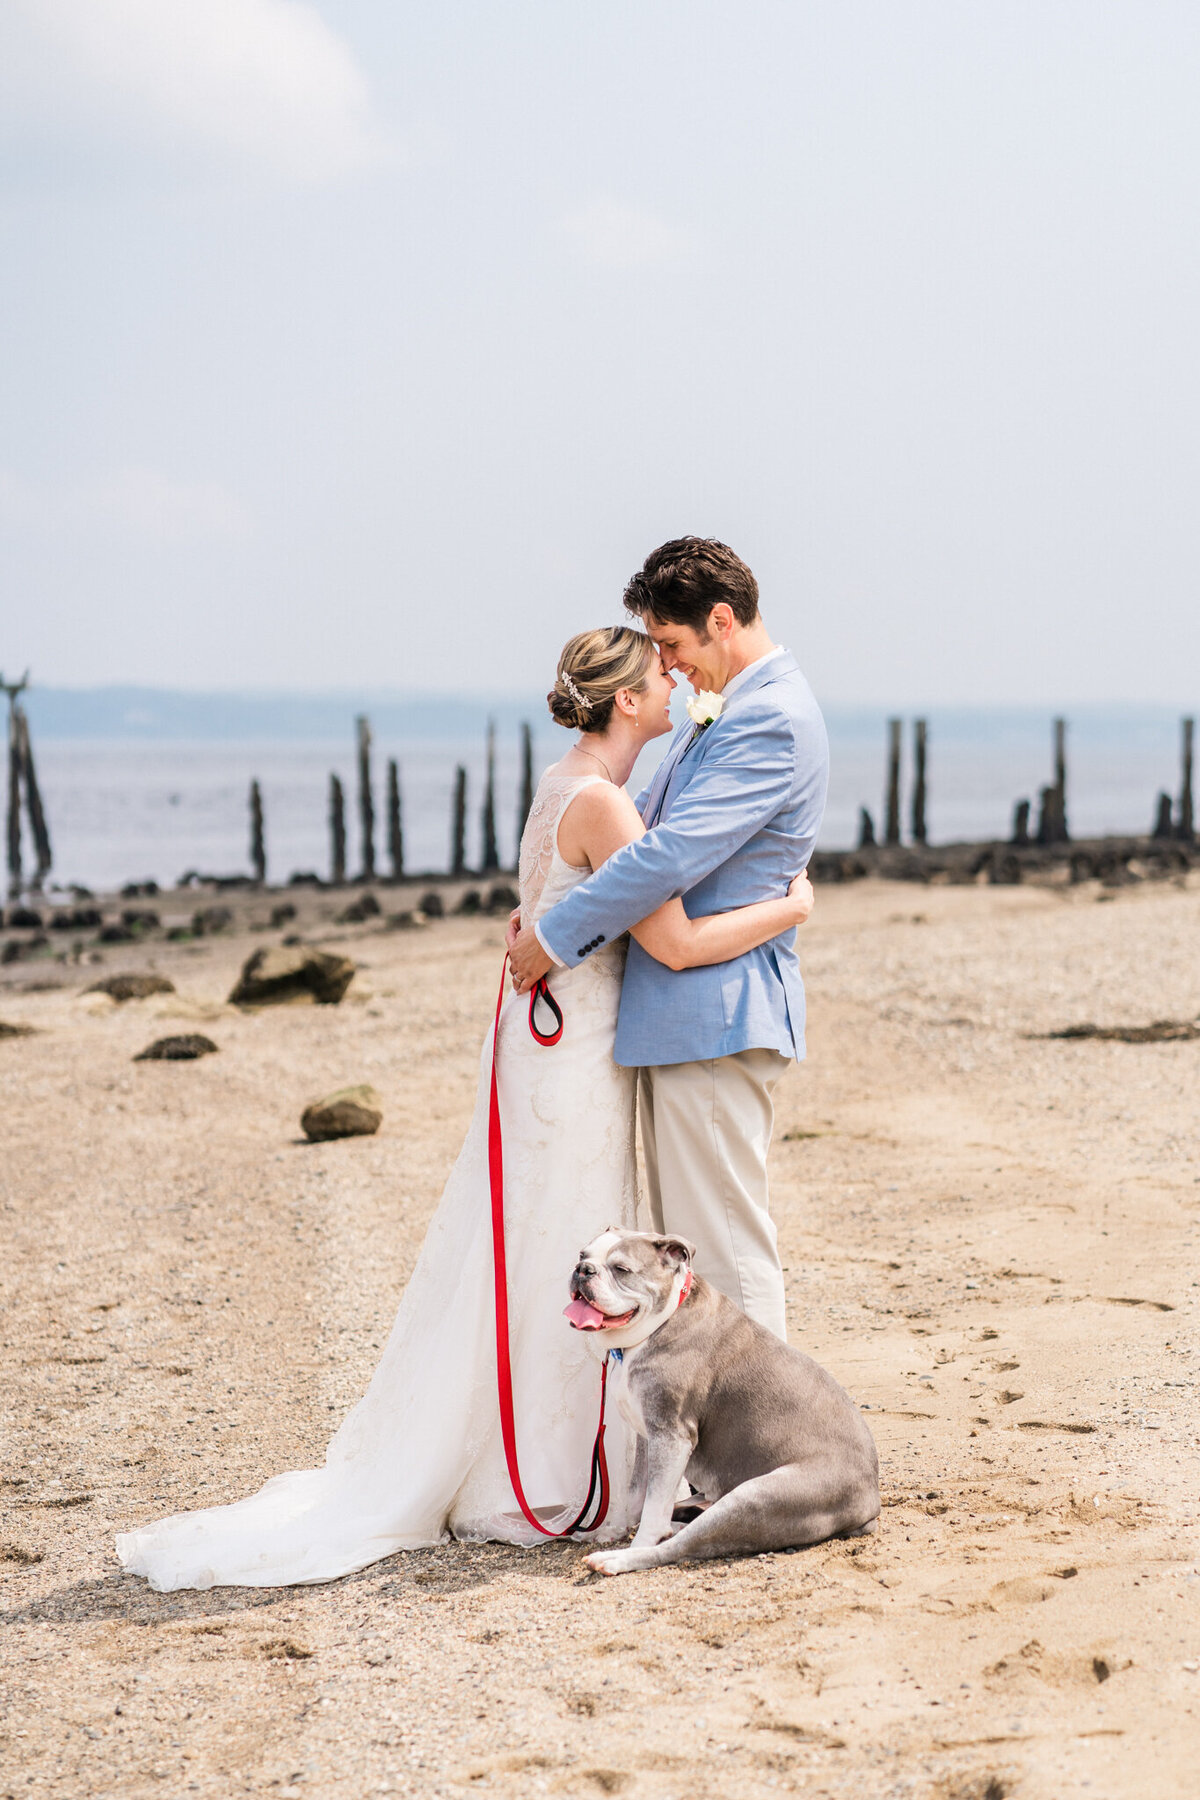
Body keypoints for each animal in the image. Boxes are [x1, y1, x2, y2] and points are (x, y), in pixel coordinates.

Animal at [564, 1224, 881, 1576]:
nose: (583, 1270)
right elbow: (637, 1495)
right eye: (582, 1255)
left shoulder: (671, 1436)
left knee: (682, 1544)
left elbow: (653, 1508)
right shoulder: (649, 1434)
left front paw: (636, 1542)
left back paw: (619, 1558)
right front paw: (611, 1529)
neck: (660, 1323)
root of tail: (869, 1499)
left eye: (621, 1269)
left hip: (754, 1498)